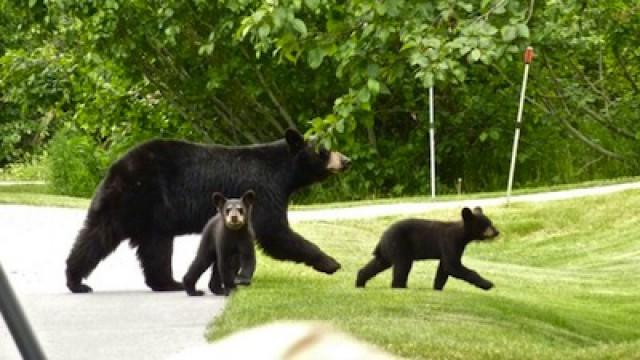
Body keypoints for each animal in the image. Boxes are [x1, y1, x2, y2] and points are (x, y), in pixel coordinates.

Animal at [65, 129, 350, 292]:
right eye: (324, 150)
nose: (346, 160)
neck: (284, 174)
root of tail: (117, 165)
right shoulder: (264, 191)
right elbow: (275, 232)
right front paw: (330, 262)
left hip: (151, 215)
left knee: (151, 247)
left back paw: (167, 283)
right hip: (136, 198)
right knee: (102, 234)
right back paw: (76, 281)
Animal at [356, 208, 500, 290]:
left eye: (491, 223)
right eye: (487, 225)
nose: (497, 232)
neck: (461, 235)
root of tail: (382, 238)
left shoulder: (454, 248)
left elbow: (443, 269)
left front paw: (437, 288)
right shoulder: (449, 242)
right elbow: (452, 266)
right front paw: (488, 284)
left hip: (387, 251)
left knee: (377, 264)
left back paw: (360, 282)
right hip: (399, 245)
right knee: (402, 265)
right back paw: (400, 286)